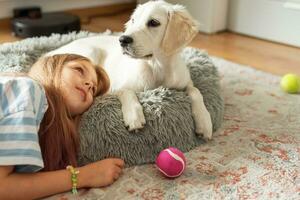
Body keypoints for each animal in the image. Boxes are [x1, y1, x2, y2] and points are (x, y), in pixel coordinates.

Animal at [47, 0, 212, 139]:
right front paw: (134, 116)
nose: (122, 40)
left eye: (154, 22)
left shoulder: (186, 82)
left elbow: (196, 91)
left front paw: (204, 122)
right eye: (133, 20)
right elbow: (127, 91)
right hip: (90, 53)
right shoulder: (114, 86)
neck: (156, 65)